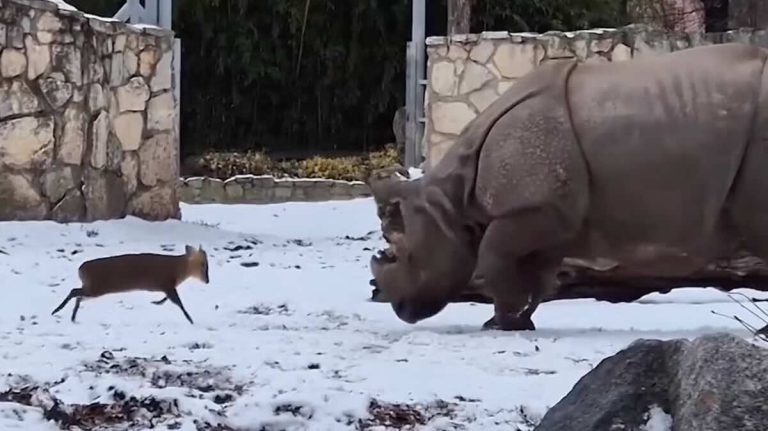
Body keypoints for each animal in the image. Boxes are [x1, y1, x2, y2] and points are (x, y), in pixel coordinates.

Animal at [51, 245, 210, 324]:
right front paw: (191, 320)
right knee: (74, 291)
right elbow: (179, 303)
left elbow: (169, 299)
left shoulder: (167, 286)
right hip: (96, 287)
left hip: (92, 288)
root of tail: (81, 269)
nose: (207, 280)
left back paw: (72, 317)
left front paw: (156, 302)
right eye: (203, 264)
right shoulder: (167, 283)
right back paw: (56, 311)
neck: (178, 269)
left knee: (78, 295)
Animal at [368, 42, 768, 331]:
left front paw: (501, 324)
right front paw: (517, 322)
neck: (451, 201)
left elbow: (491, 257)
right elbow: (542, 278)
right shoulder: (554, 217)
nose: (400, 308)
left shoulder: (533, 208)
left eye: (404, 255)